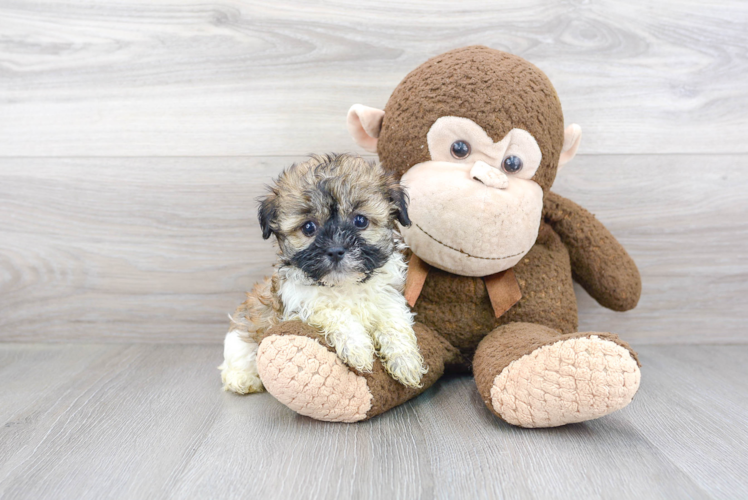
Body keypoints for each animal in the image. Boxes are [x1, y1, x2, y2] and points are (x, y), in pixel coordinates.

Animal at [219, 153, 426, 394]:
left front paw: (406, 362)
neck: (345, 285)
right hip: (242, 334)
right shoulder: (299, 304)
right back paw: (242, 378)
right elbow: (335, 313)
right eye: (309, 227)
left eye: (360, 221)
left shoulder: (387, 297)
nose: (336, 250)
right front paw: (358, 349)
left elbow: (394, 321)